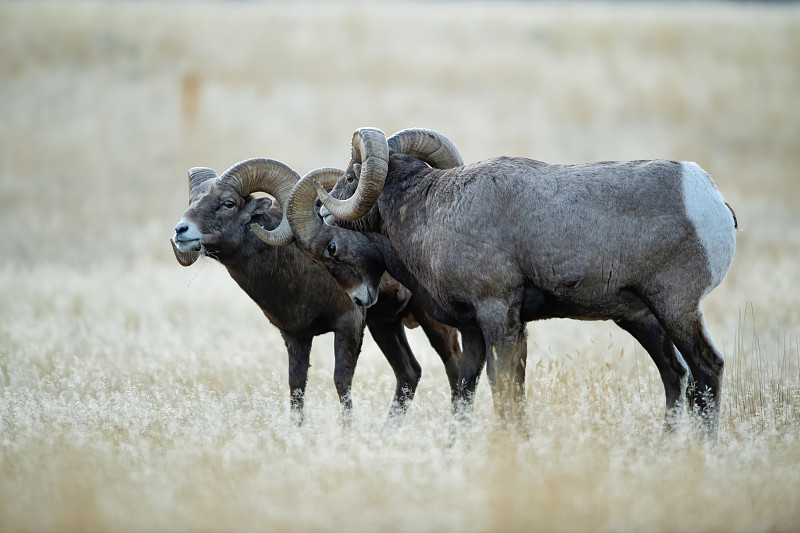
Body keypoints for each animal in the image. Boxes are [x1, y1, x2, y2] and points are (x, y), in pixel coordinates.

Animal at [169, 160, 460, 426]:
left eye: (228, 203)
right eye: (192, 201)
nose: (181, 230)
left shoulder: (348, 325)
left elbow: (342, 382)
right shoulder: (295, 336)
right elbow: (296, 388)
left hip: (432, 321)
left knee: (455, 370)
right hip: (385, 326)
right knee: (409, 373)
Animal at [290, 129, 736, 436]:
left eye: (351, 175)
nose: (322, 206)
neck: (431, 214)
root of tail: (711, 198)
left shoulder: (497, 314)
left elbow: (501, 387)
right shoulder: (477, 329)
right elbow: (472, 389)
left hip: (675, 308)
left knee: (707, 371)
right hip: (642, 318)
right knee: (676, 376)